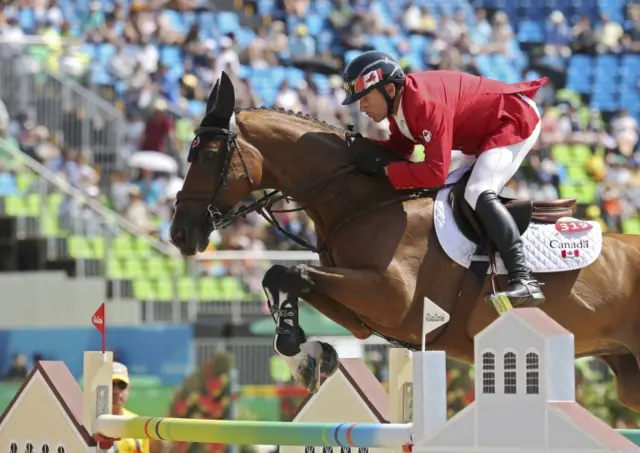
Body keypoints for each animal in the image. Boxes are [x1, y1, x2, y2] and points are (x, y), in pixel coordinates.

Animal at [170, 71, 640, 410]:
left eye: (207, 155)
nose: (179, 233)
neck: (363, 202)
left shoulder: (391, 298)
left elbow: (288, 271)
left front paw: (296, 347)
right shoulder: (362, 314)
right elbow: (285, 275)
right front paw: (307, 356)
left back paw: (523, 287)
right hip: (627, 375)